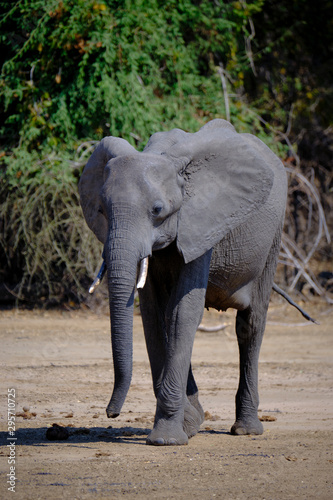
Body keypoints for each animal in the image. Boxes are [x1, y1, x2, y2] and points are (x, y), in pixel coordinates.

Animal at [79, 118, 308, 446]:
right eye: (102, 210)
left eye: (157, 210)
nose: (112, 413)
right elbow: (154, 315)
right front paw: (186, 425)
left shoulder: (203, 222)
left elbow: (182, 313)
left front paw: (166, 439)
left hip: (274, 237)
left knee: (251, 325)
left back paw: (246, 429)